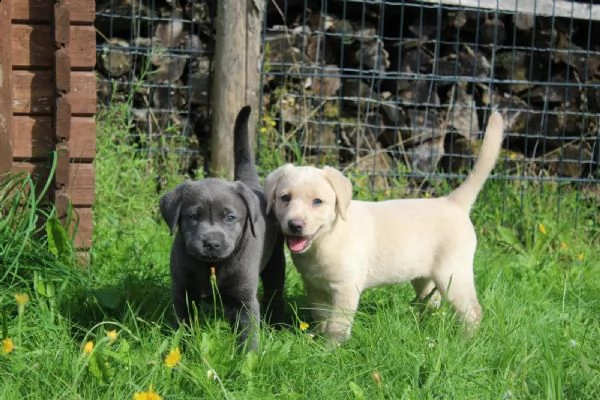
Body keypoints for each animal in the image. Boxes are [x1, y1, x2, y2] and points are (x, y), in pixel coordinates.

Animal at [159, 106, 286, 350]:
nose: (212, 243)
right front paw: (183, 350)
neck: (212, 267)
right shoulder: (182, 293)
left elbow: (248, 335)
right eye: (193, 216)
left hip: (275, 261)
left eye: (230, 218)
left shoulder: (244, 299)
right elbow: (184, 326)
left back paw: (277, 324)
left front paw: (248, 357)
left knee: (275, 291)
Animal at [264, 111, 504, 340]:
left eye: (317, 202)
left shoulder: (346, 287)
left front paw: (330, 348)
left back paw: (465, 342)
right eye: (285, 198)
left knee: (472, 312)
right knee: (431, 302)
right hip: (424, 276)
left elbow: (337, 325)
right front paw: (315, 339)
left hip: (453, 274)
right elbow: (321, 317)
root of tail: (453, 202)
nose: (295, 224)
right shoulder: (314, 286)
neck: (326, 239)